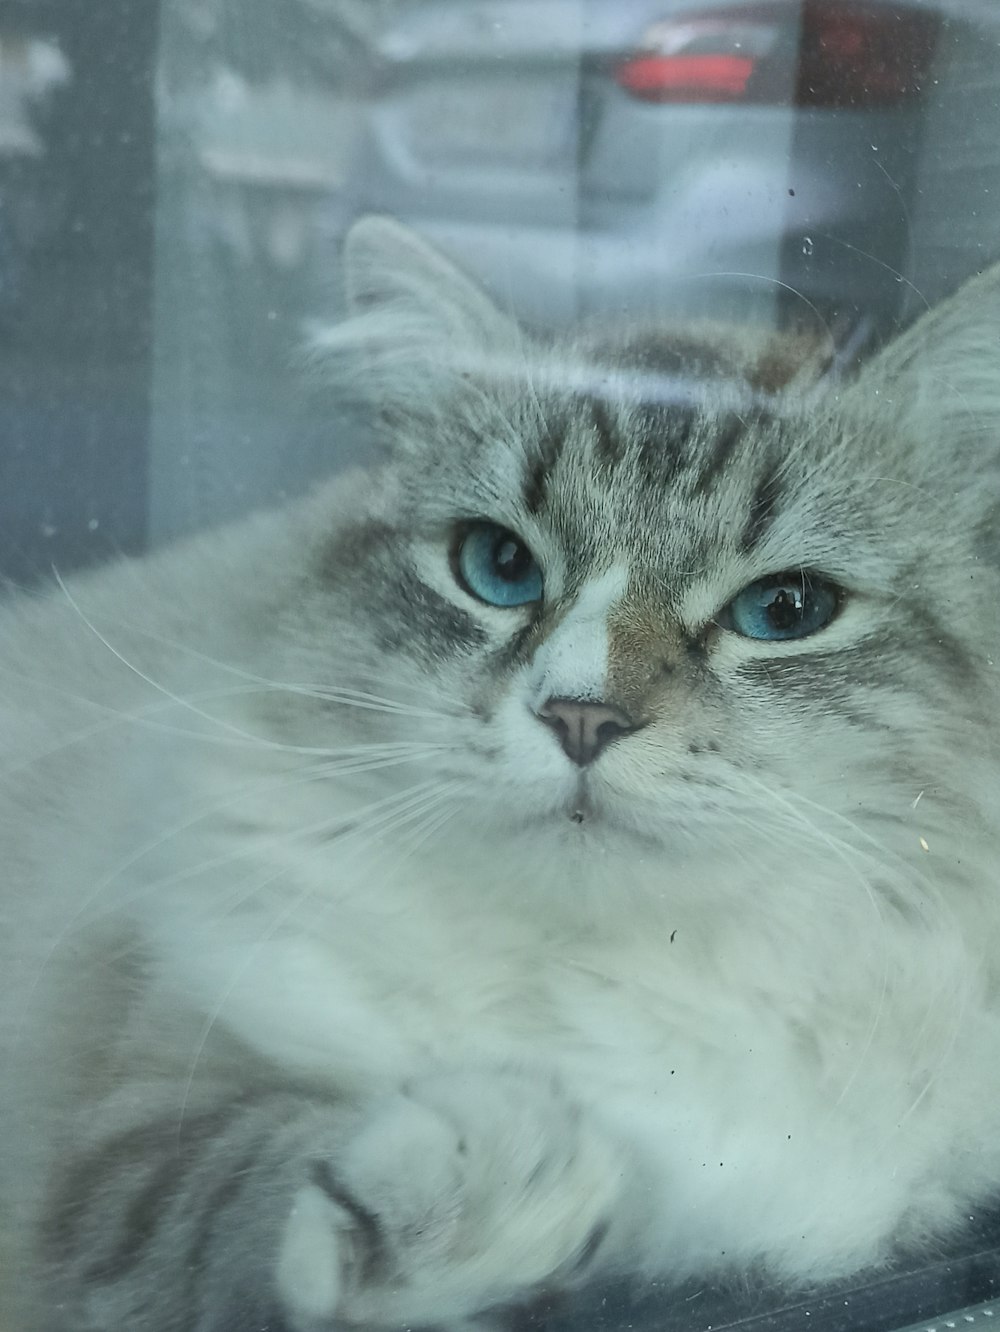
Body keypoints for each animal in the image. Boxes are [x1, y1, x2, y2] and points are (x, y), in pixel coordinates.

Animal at [1, 213, 1000, 1326]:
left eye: (784, 610)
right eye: (499, 568)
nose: (580, 715)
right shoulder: (128, 1124)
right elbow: (234, 1192)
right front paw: (497, 1180)